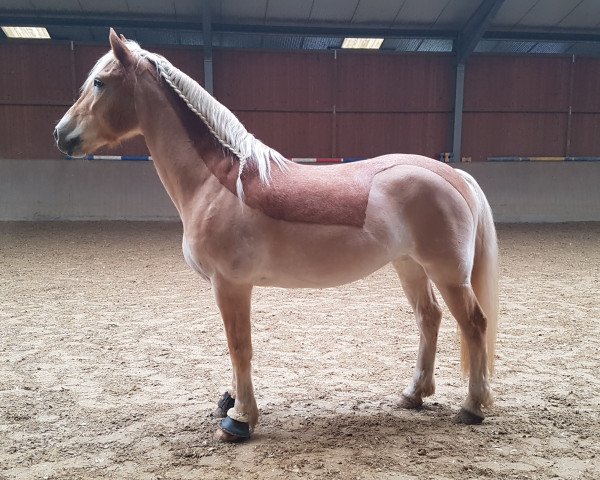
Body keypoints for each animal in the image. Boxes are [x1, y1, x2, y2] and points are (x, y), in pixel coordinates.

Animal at [55, 30, 496, 442]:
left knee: (474, 324)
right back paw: (413, 394)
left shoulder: (230, 285)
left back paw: (472, 407)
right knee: (429, 318)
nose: (61, 135)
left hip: (447, 273)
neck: (216, 183)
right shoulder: (228, 287)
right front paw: (229, 402)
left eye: (99, 83)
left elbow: (240, 347)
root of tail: (453, 175)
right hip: (409, 267)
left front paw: (239, 420)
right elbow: (234, 347)